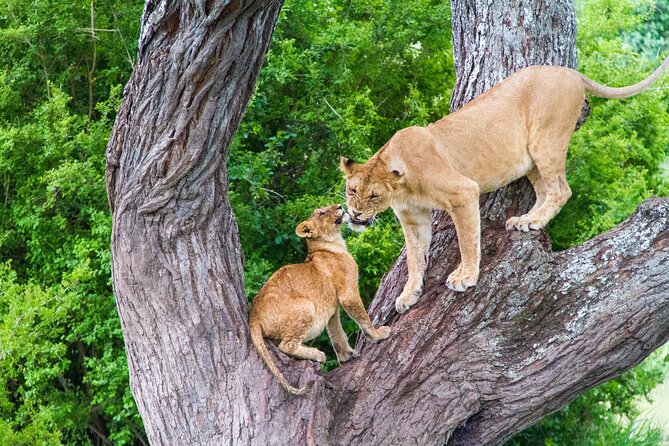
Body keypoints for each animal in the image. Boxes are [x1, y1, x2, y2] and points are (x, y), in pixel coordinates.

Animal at [249, 204, 391, 394]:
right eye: (322, 212)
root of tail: (253, 315)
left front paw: (346, 356)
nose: (339, 205)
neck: (332, 245)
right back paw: (318, 354)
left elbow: (337, 334)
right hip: (307, 306)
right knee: (286, 346)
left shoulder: (333, 308)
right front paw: (378, 334)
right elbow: (363, 318)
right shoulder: (348, 294)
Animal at [341, 55, 669, 314]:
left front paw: (465, 276)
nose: (354, 215)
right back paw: (526, 219)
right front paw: (409, 294)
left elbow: (467, 240)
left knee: (561, 190)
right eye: (352, 190)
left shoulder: (462, 192)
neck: (402, 184)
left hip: (546, 139)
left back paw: (534, 221)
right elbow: (414, 258)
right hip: (529, 158)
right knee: (545, 191)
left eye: (373, 196)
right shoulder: (413, 218)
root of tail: (571, 73)